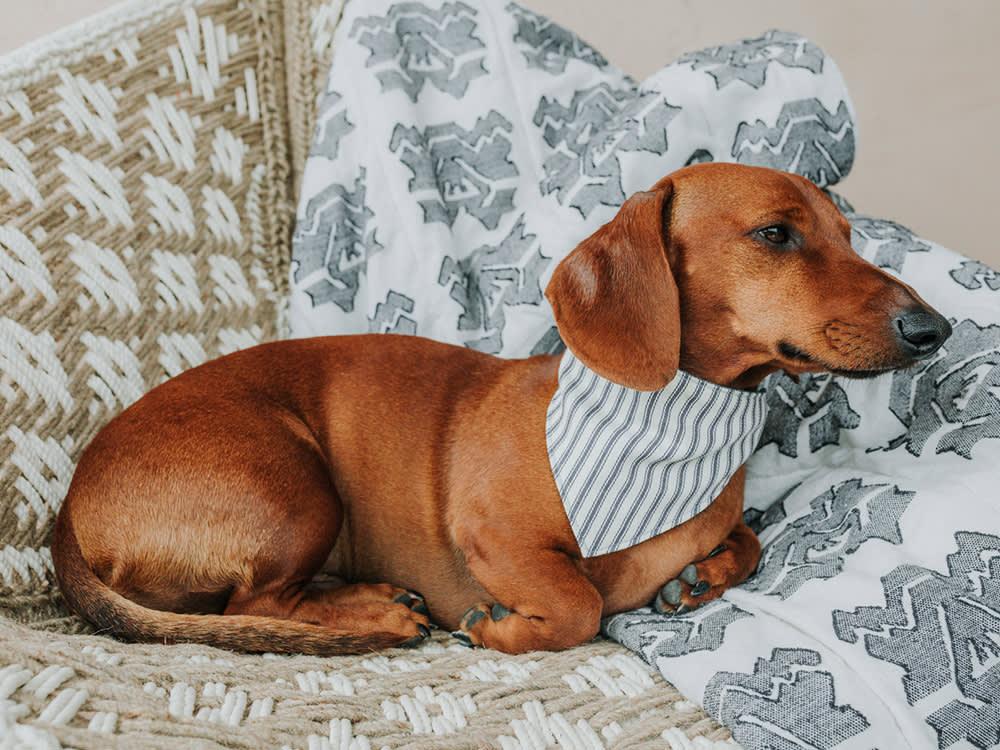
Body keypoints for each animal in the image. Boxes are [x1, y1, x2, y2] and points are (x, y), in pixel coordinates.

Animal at [52, 162, 944, 656]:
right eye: (774, 235)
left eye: (849, 233)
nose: (933, 330)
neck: (669, 423)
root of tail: (67, 511)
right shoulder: (497, 539)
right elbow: (582, 605)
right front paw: (498, 627)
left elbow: (749, 540)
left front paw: (704, 573)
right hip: (297, 489)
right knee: (255, 607)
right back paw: (377, 612)